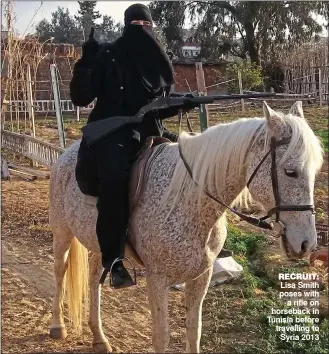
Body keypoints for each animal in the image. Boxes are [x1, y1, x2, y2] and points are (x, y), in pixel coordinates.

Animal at [48, 101, 322, 352]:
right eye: (290, 171)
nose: (306, 244)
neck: (187, 199)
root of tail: (67, 152)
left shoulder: (201, 276)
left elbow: (194, 329)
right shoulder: (157, 279)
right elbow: (162, 336)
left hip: (98, 243)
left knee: (94, 277)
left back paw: (99, 337)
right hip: (62, 231)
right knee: (60, 271)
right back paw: (57, 326)